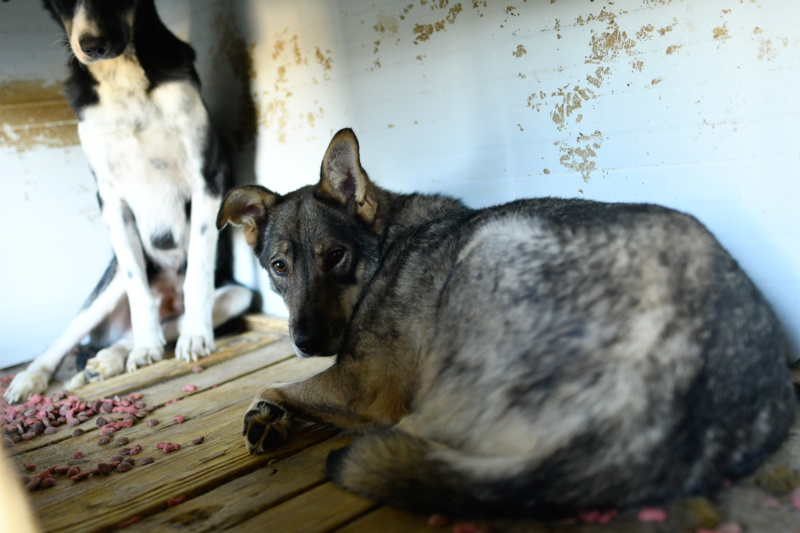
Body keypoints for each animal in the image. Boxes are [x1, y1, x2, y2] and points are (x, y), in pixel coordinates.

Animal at [216, 128, 796, 516]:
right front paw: (269, 415)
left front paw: (267, 409)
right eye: (279, 267)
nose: (306, 340)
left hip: (490, 248)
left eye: (335, 257)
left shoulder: (363, 387)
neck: (386, 247)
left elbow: (276, 383)